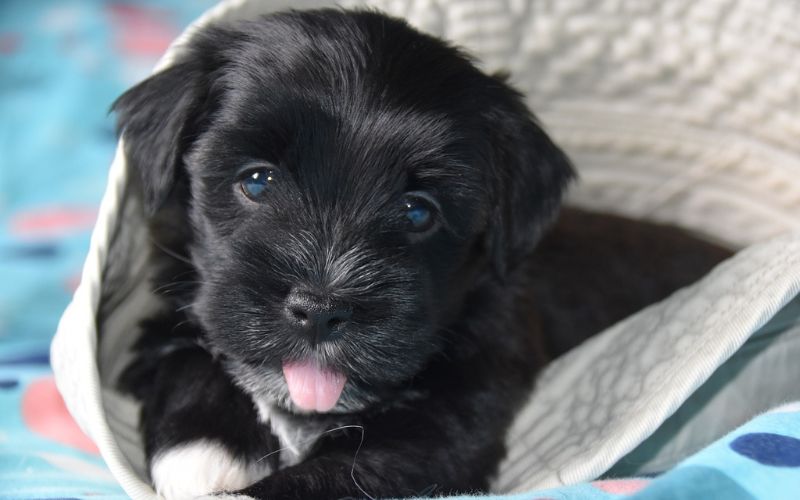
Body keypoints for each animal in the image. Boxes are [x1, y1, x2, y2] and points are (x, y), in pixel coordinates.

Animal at [112, 8, 732, 500]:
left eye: (417, 212)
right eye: (257, 181)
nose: (320, 310)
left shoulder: (449, 424)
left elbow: (343, 473)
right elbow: (189, 355)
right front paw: (204, 450)